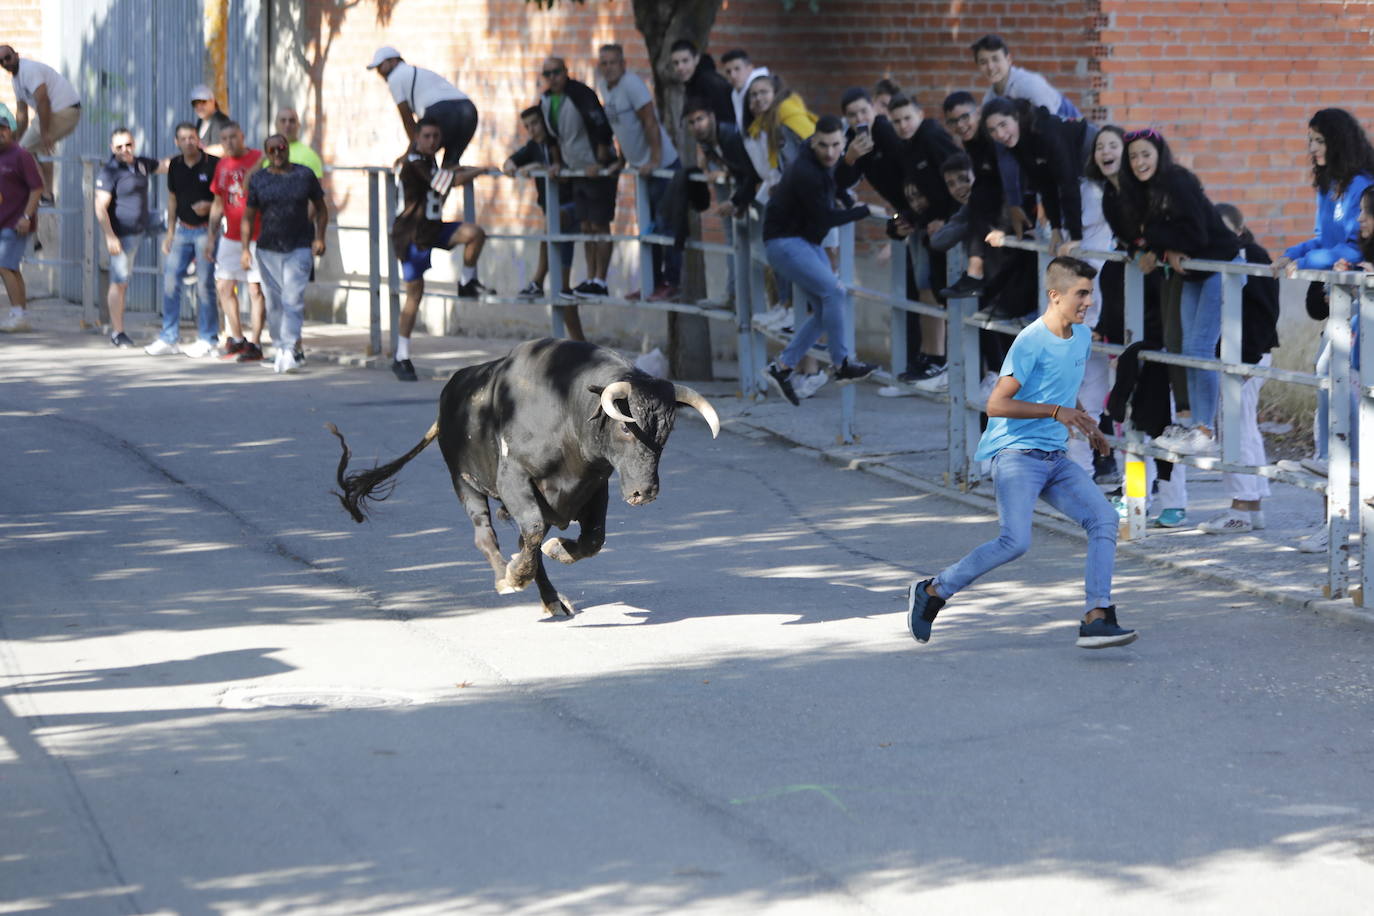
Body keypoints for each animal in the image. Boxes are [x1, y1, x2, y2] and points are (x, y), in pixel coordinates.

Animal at [328, 340, 725, 620]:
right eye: (627, 429)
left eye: (667, 431)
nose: (646, 492)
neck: (566, 408)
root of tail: (449, 392)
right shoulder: (514, 481)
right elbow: (533, 532)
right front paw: (515, 575)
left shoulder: (595, 487)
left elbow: (591, 539)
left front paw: (558, 550)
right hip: (465, 482)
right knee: (485, 533)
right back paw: (507, 578)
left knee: (526, 543)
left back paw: (551, 599)